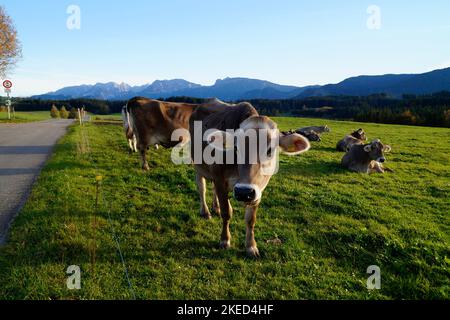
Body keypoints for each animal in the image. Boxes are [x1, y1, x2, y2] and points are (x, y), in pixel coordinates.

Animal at [188, 100, 312, 258]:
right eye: (236, 148)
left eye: (270, 150)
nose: (243, 192)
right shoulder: (220, 179)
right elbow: (226, 212)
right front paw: (225, 240)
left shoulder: (258, 189)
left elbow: (250, 219)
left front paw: (251, 246)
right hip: (197, 165)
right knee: (202, 188)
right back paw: (205, 211)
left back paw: (215, 207)